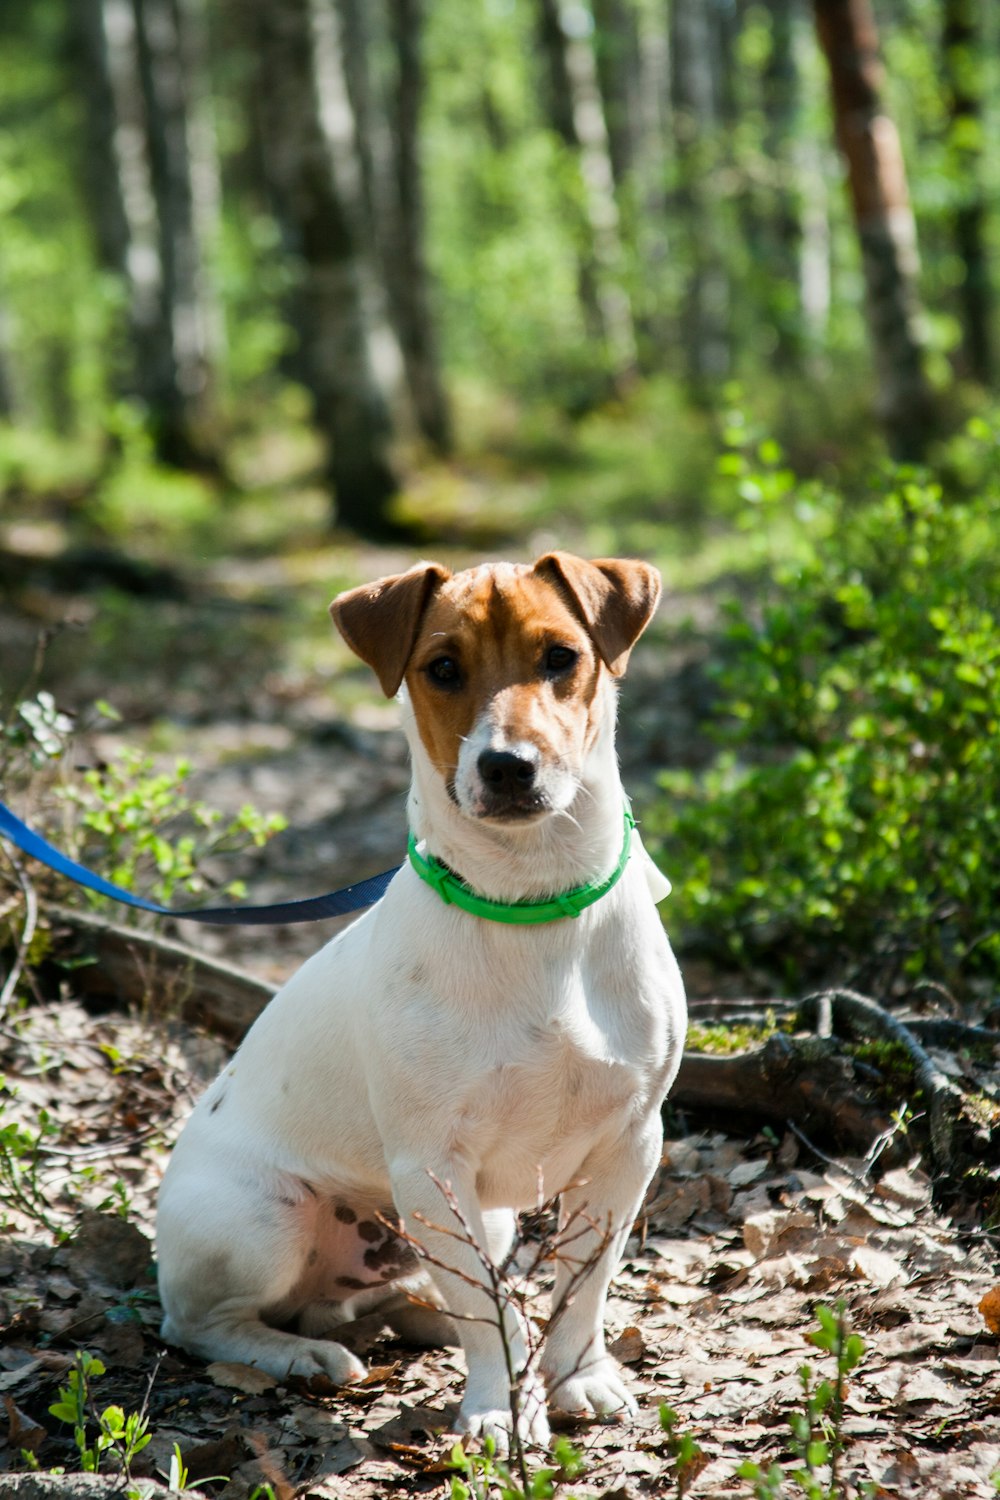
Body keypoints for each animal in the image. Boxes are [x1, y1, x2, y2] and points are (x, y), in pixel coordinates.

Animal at [156, 555, 689, 1452]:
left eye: (560, 657)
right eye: (442, 668)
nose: (508, 767)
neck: (531, 904)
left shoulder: (628, 1145)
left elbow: (582, 1282)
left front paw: (576, 1376)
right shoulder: (433, 1168)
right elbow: (489, 1316)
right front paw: (498, 1407)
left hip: (479, 1223)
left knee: (399, 1299)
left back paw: (420, 1315)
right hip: (265, 1221)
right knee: (204, 1325)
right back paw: (298, 1355)